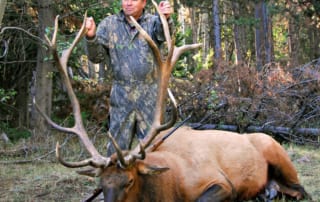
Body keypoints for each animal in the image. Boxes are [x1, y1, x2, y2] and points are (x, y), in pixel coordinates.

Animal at [34, 0, 310, 201]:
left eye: (129, 181)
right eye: (101, 183)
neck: (170, 184)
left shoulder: (221, 183)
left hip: (278, 154)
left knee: (301, 190)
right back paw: (268, 192)